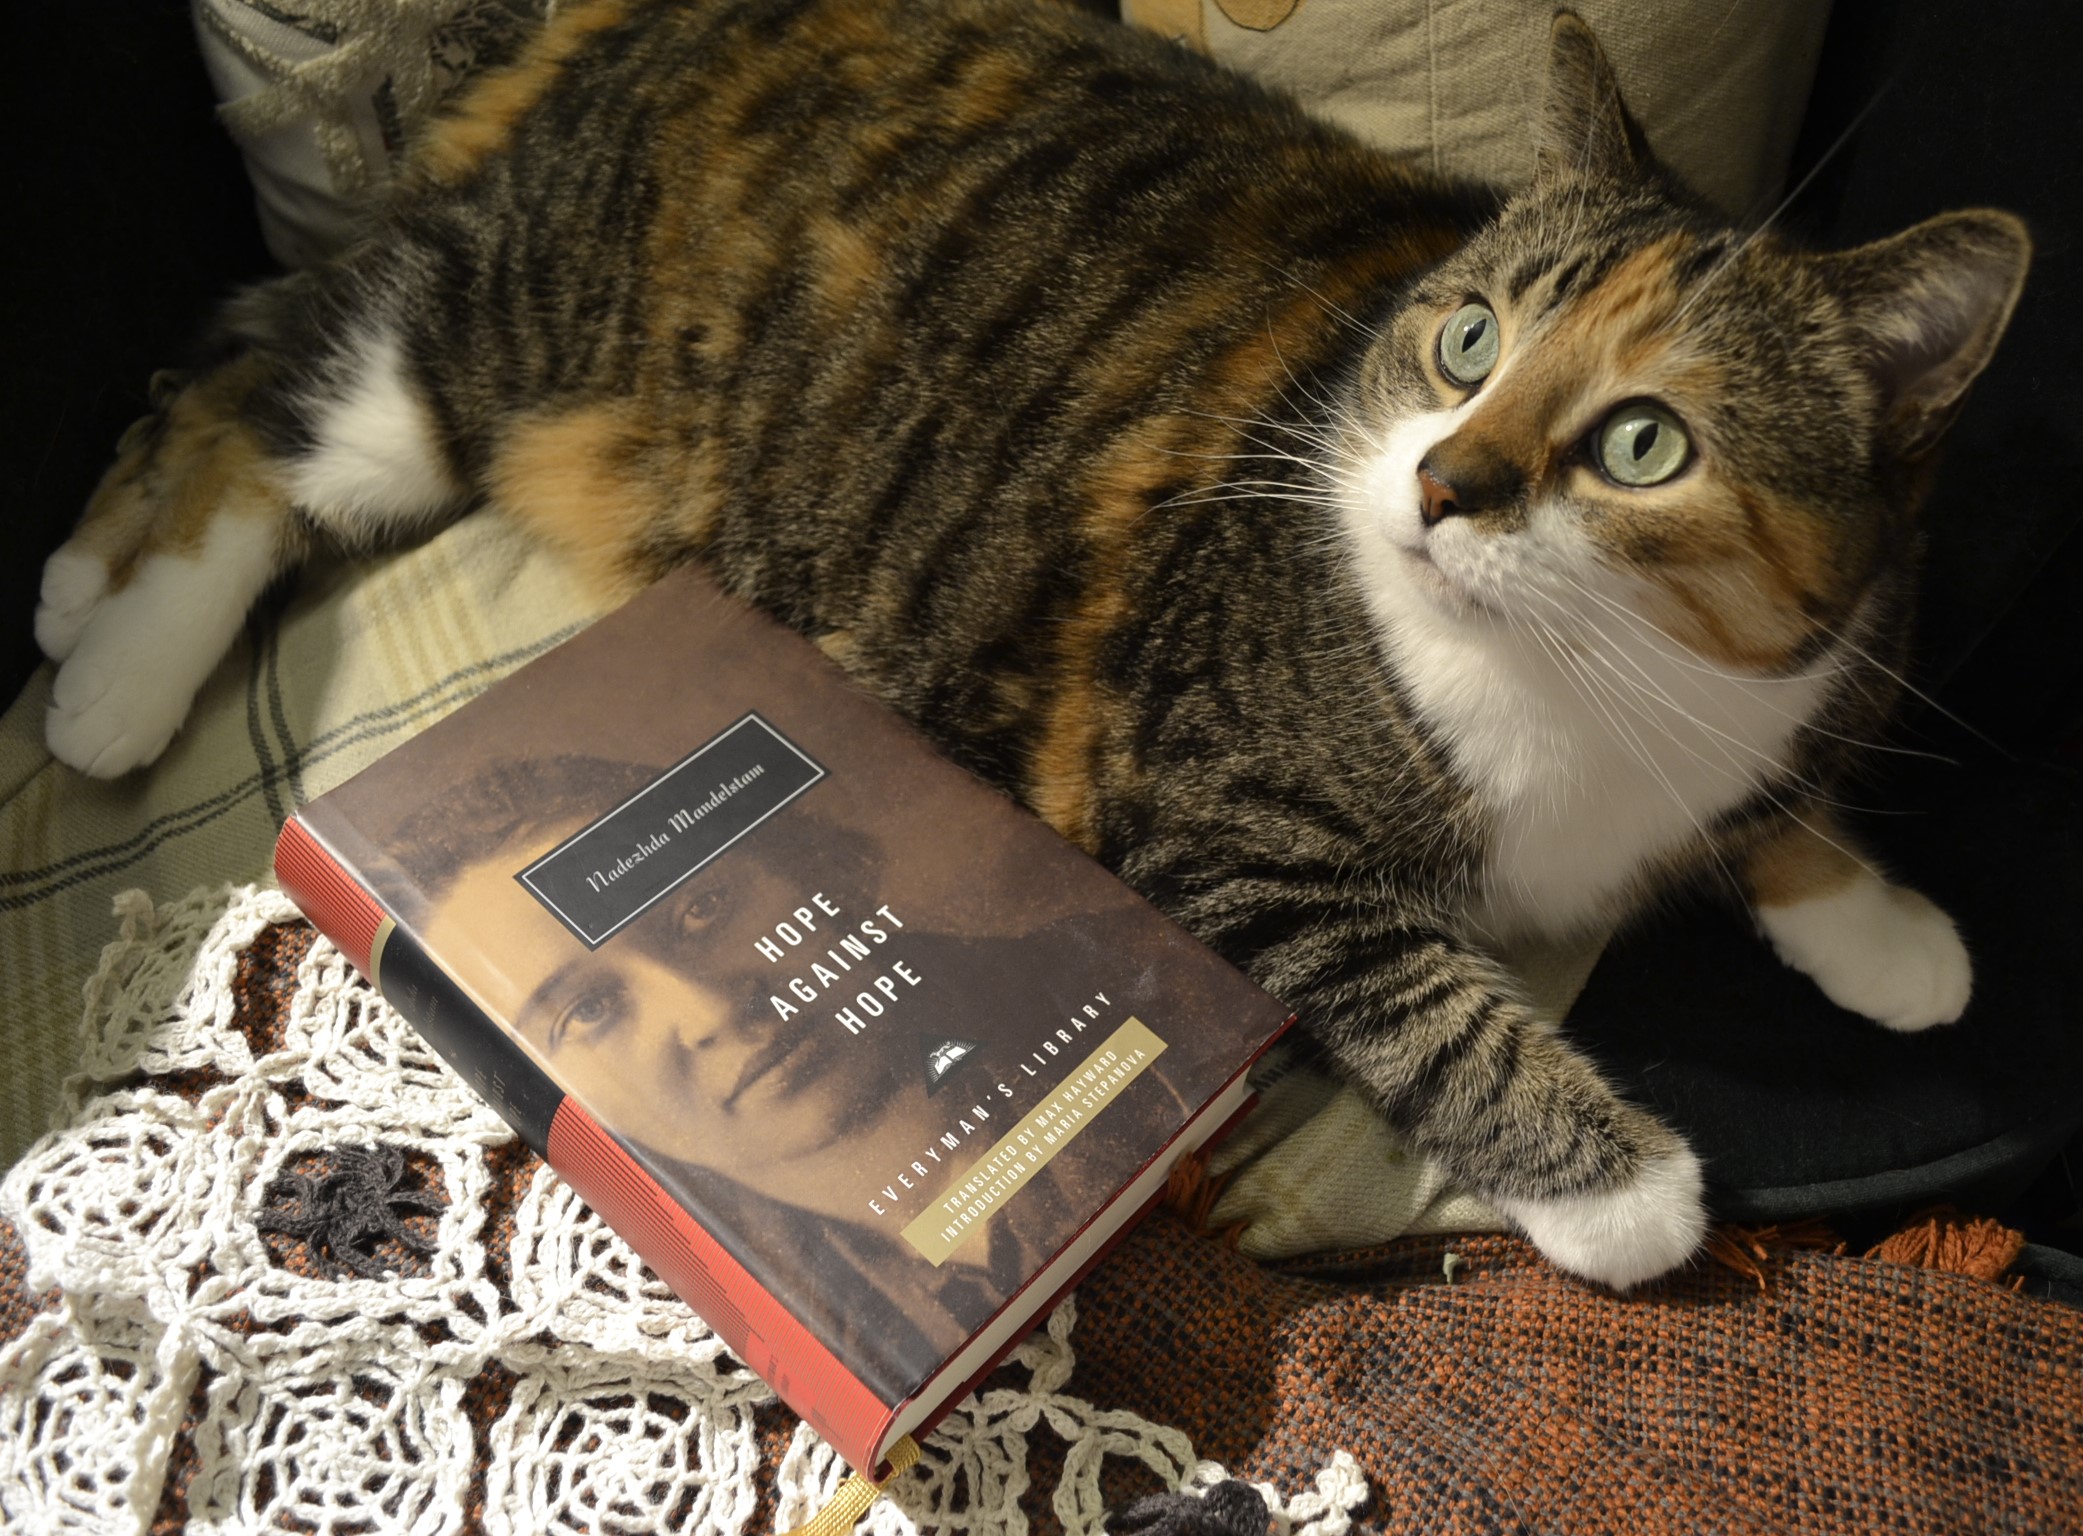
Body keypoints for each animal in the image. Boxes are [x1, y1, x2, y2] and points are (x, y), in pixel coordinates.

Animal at [40, 0, 2024, 1292]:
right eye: (1465, 340)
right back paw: (110, 668)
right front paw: (1624, 1191)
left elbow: (1762, 799)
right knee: (257, 380)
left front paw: (1877, 927)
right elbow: (1425, 996)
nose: (1440, 484)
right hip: (509, 336)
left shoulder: (1813, 668)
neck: (1599, 692)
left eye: (1641, 444)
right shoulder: (1209, 800)